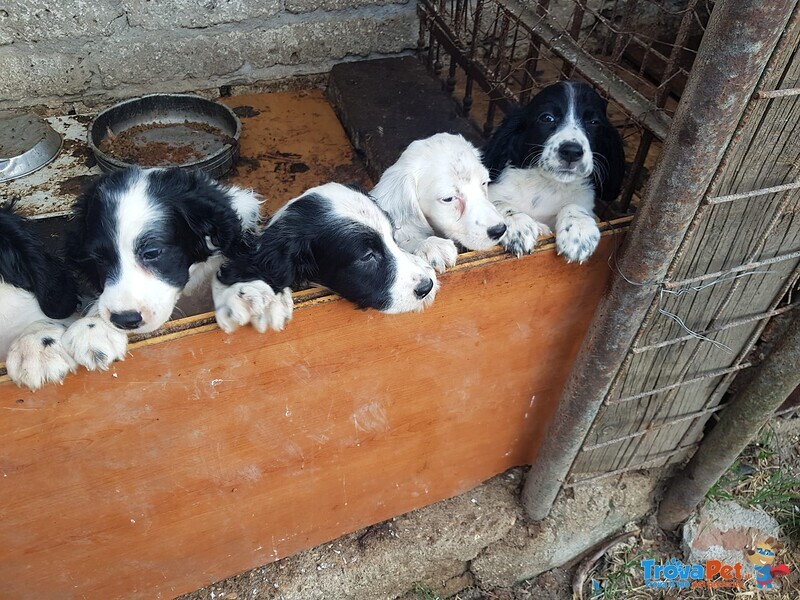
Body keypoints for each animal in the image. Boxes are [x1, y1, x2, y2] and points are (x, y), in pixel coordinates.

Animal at [482, 80, 624, 262]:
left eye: (593, 122)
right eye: (547, 118)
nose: (571, 151)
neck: (546, 184)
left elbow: (574, 205)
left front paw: (579, 231)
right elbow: (498, 203)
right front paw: (519, 224)